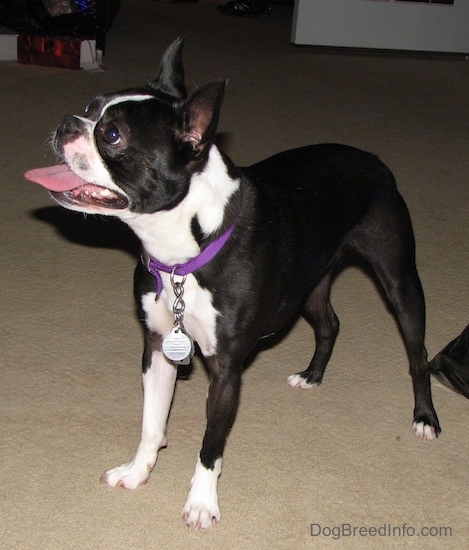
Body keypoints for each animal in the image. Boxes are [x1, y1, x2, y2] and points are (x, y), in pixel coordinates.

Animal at [27, 38, 440, 532]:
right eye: (91, 108)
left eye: (112, 135)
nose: (69, 122)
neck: (183, 254)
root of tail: (376, 161)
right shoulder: (157, 347)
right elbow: (151, 423)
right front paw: (138, 471)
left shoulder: (225, 369)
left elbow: (211, 444)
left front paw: (202, 503)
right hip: (309, 286)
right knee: (330, 324)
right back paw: (312, 375)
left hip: (399, 281)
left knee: (418, 354)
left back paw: (425, 417)